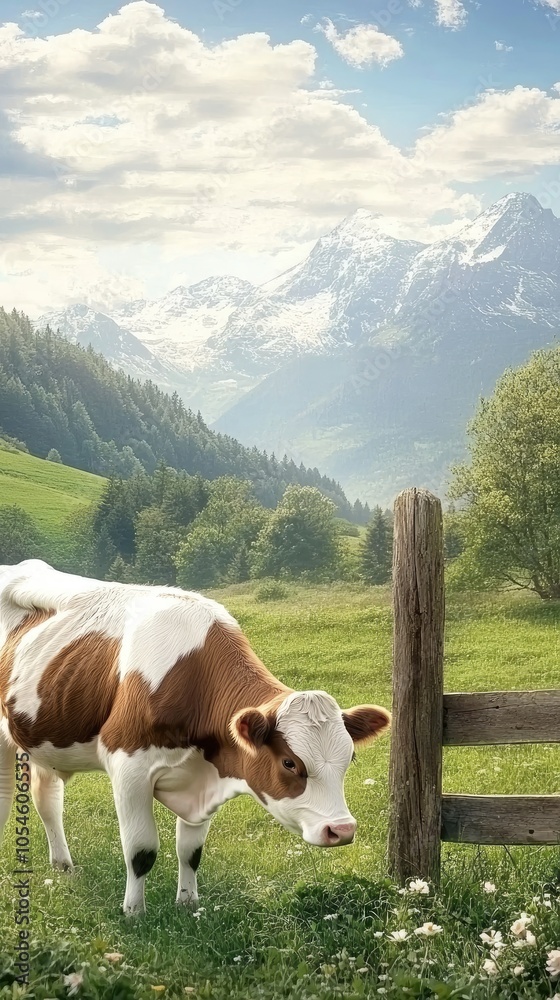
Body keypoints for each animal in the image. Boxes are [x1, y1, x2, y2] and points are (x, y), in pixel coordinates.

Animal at [0, 560, 390, 915]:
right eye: (289, 762)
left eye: (350, 758)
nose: (341, 829)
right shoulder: (129, 768)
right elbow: (141, 851)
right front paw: (134, 913)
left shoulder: (204, 777)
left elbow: (190, 851)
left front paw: (189, 905)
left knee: (46, 798)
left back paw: (63, 865)